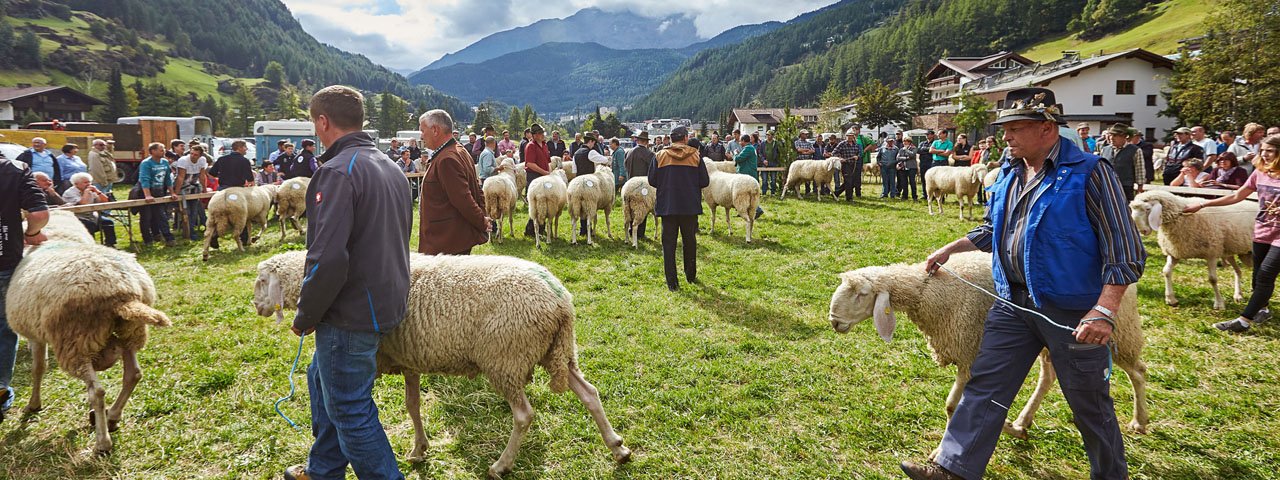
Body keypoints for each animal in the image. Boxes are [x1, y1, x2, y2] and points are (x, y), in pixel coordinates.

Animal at [5, 239, 172, 455]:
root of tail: (124, 295)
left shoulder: (36, 336)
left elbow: (38, 369)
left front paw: (33, 404)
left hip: (75, 341)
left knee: (97, 391)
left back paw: (102, 442)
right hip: (130, 332)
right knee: (133, 374)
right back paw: (113, 417)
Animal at [252, 252, 632, 478]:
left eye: (262, 281)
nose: (255, 306)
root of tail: (560, 300)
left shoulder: (373, 362)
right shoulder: (410, 359)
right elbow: (413, 406)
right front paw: (420, 449)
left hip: (505, 357)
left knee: (524, 415)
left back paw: (501, 464)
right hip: (556, 351)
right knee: (589, 393)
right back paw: (617, 447)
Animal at [829, 252, 1152, 448]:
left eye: (861, 295)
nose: (834, 322)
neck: (930, 292)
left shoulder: (971, 350)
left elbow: (954, 406)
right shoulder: (966, 352)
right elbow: (954, 406)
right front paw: (1006, 427)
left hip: (1117, 333)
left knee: (1138, 371)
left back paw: (1140, 421)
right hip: (1049, 340)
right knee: (1048, 377)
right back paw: (1022, 422)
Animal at [1126, 189, 1254, 309]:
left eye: (1148, 209)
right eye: (1132, 209)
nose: (1142, 231)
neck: (1181, 216)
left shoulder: (1212, 253)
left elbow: (1212, 279)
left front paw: (1219, 303)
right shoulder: (1174, 252)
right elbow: (1166, 271)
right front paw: (1170, 299)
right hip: (1229, 252)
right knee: (1238, 271)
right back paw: (1238, 295)